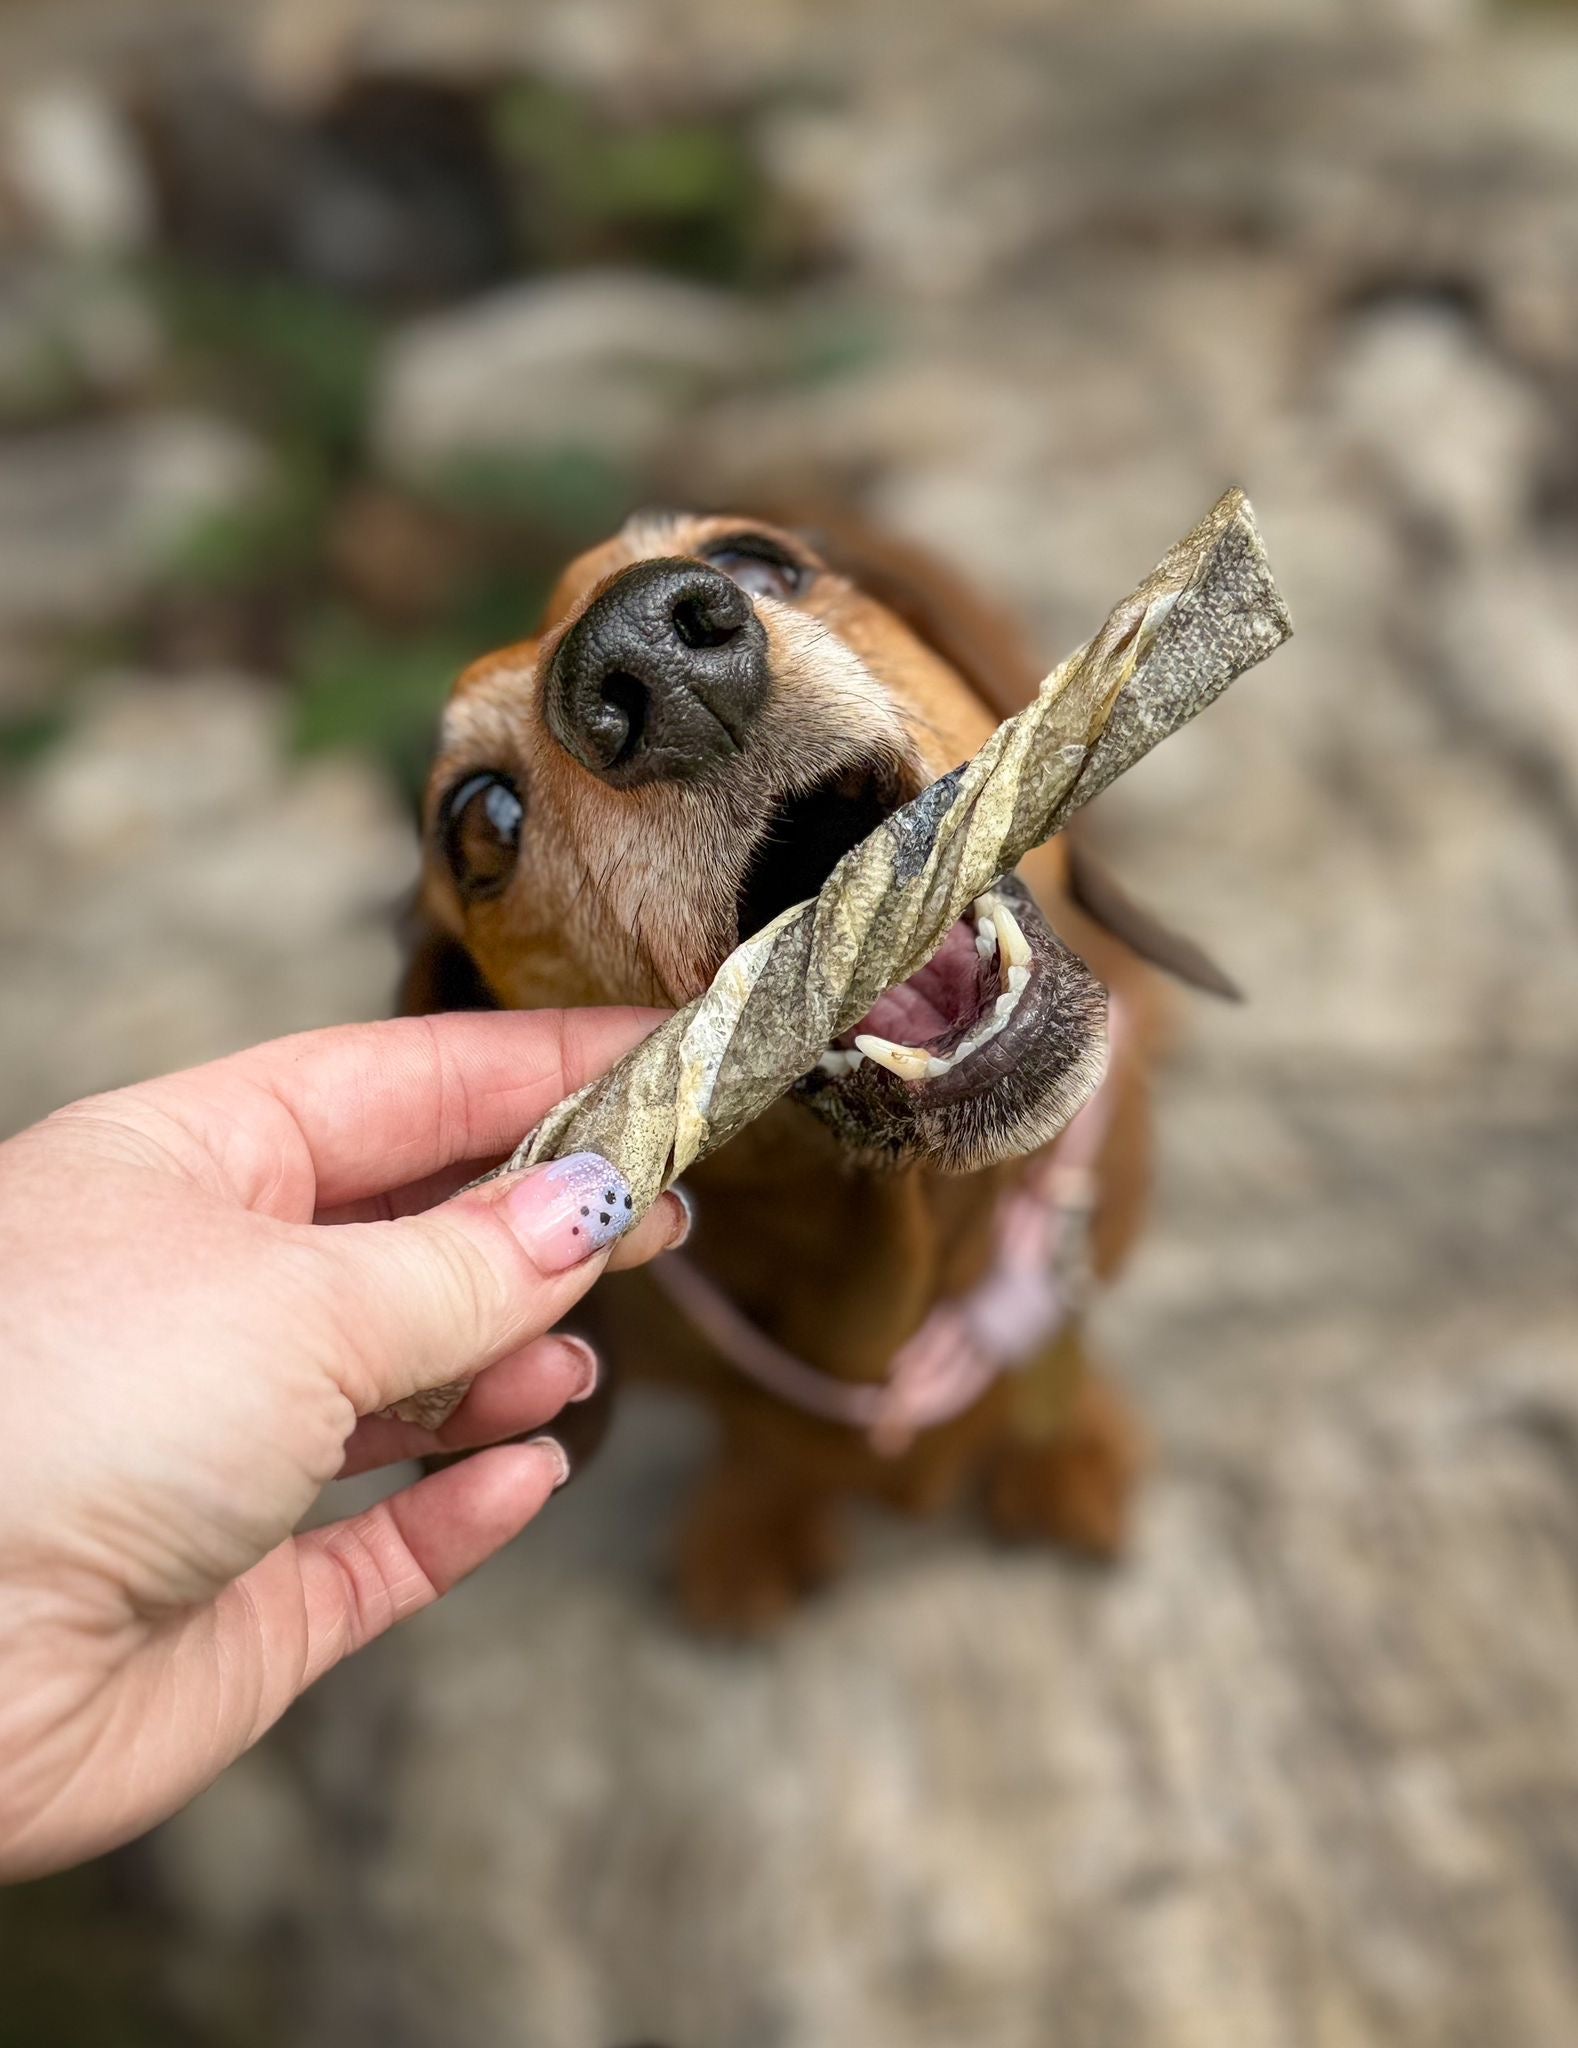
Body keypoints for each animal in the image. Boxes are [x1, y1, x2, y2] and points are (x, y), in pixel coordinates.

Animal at [403, 509, 1235, 1630]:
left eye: (753, 560)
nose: (645, 654)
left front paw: (1066, 1445)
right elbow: (764, 1441)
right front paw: (758, 1515)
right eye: (481, 821)